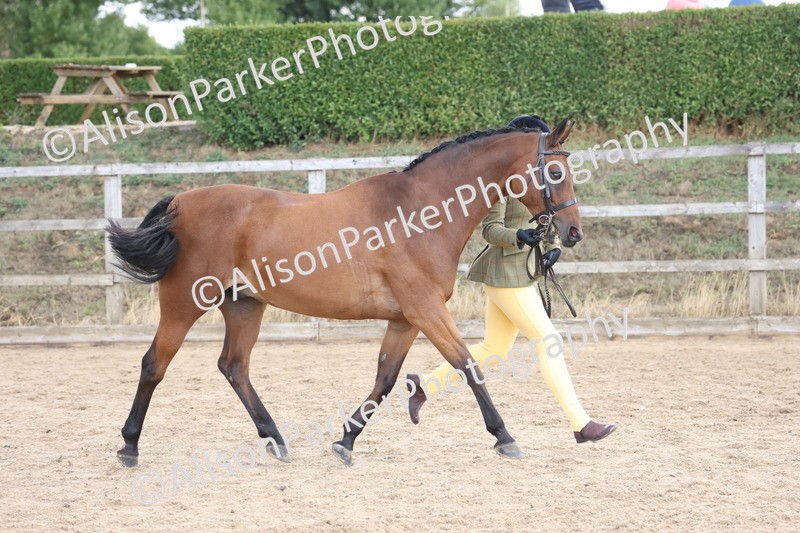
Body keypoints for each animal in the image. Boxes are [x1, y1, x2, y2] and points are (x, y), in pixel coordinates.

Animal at [107, 118, 582, 468]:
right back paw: (129, 446)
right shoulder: (426, 311)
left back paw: (276, 439)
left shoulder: (405, 319)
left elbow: (386, 379)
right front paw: (504, 436)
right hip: (184, 303)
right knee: (155, 364)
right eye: (556, 172)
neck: (417, 213)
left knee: (234, 367)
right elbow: (468, 366)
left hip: (244, 306)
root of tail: (179, 204)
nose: (572, 232)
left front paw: (346, 440)